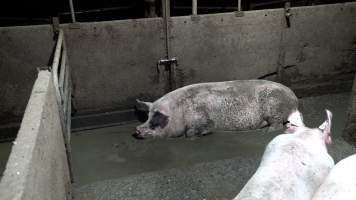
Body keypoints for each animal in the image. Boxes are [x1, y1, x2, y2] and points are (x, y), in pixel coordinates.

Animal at [134, 79, 298, 139]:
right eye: (148, 116)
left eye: (158, 117)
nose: (136, 130)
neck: (178, 111)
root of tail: (294, 97)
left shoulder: (203, 117)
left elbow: (193, 131)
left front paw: (202, 134)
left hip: (273, 105)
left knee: (277, 123)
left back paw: (265, 132)